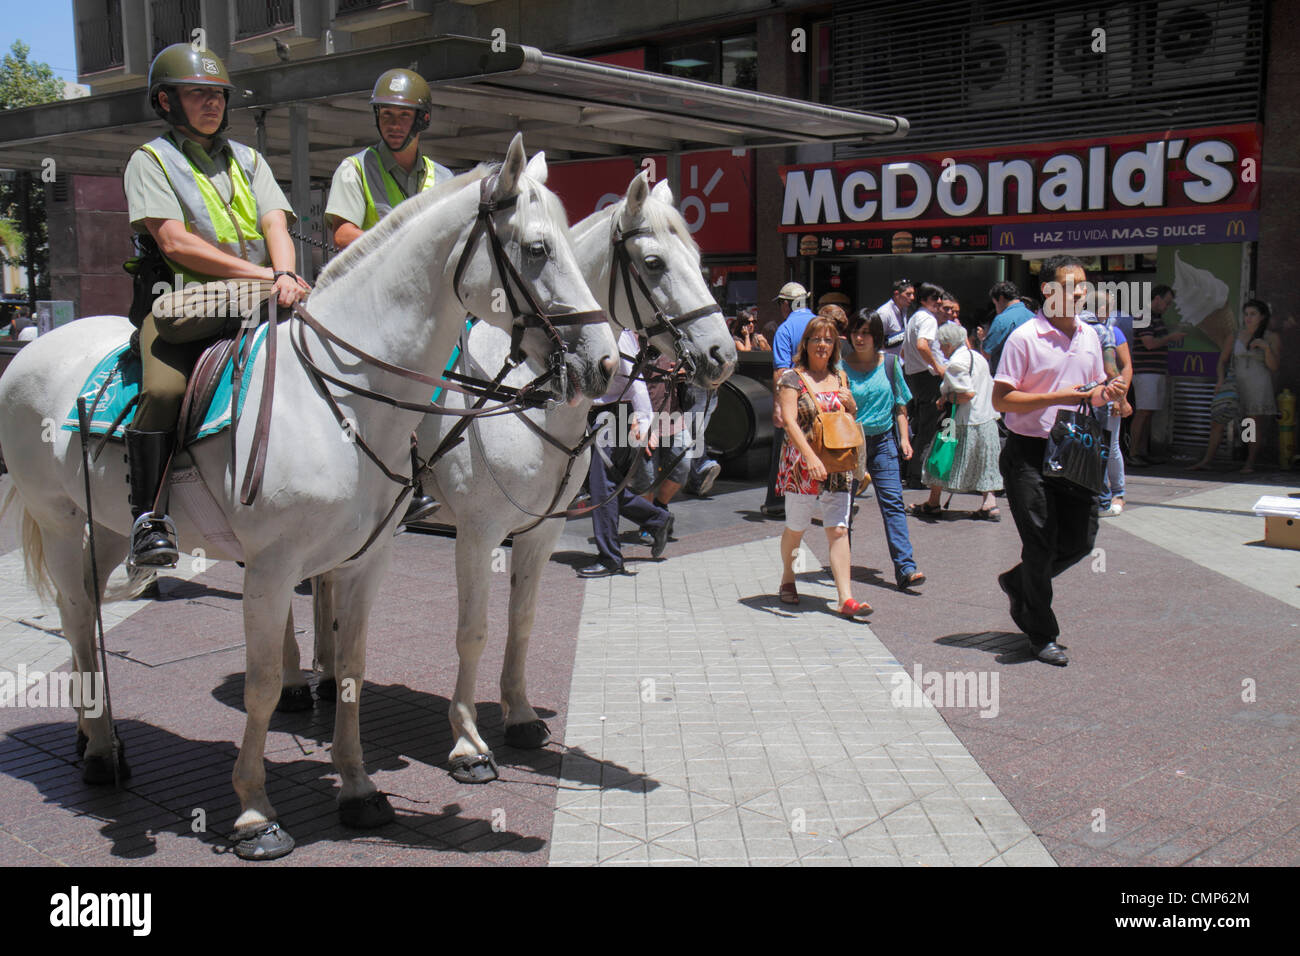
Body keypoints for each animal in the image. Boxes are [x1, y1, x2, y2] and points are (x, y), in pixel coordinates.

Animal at [0, 132, 616, 858]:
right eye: (538, 249)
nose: (604, 362)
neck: (343, 398)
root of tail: (33, 348)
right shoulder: (274, 568)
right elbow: (264, 684)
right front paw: (254, 813)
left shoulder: (367, 558)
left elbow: (350, 666)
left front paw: (358, 790)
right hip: (61, 522)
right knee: (76, 618)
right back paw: (99, 752)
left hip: (109, 527)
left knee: (87, 620)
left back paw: (95, 735)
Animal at [305, 170, 733, 785]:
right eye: (654, 263)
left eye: (699, 261)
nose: (724, 354)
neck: (531, 397)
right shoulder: (478, 533)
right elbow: (474, 632)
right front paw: (467, 742)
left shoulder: (540, 531)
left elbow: (523, 621)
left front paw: (521, 715)